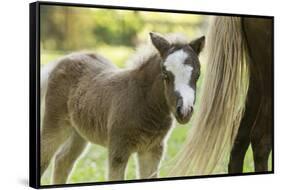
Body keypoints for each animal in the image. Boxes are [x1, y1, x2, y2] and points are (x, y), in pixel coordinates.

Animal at [40, 31, 203, 183]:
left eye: (197, 75)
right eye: (165, 74)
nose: (184, 111)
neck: (144, 102)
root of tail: (63, 59)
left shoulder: (153, 149)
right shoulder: (118, 149)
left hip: (79, 132)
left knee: (62, 160)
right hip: (55, 123)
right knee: (45, 159)